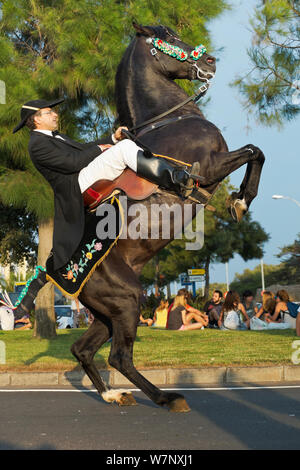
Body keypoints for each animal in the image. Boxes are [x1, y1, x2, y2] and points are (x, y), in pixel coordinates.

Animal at [68, 23, 264, 412]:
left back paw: (113, 394)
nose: (210, 60)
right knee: (118, 357)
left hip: (108, 314)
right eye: (169, 39)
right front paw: (241, 200)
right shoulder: (209, 167)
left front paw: (240, 201)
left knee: (82, 350)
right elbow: (254, 151)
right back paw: (166, 397)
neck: (171, 120)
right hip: (128, 300)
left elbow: (255, 151)